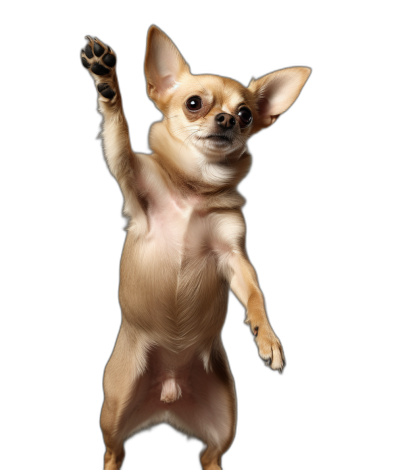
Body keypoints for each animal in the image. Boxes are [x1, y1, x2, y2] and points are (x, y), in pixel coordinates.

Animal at [80, 26, 310, 470]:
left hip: (225, 421)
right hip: (114, 410)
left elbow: (255, 293)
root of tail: (168, 394)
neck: (196, 188)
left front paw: (267, 337)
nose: (226, 119)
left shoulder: (233, 256)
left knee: (210, 454)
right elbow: (119, 132)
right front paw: (106, 79)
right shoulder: (130, 178)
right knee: (113, 451)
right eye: (193, 104)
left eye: (246, 115)